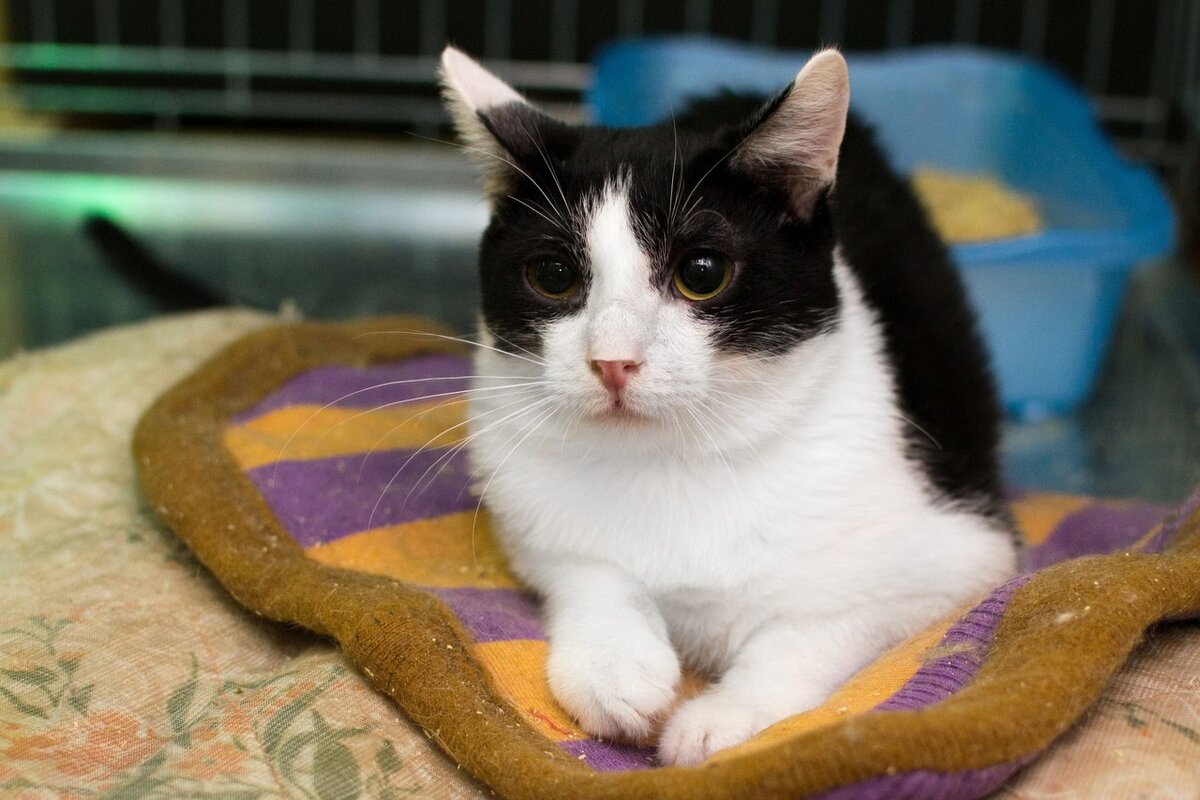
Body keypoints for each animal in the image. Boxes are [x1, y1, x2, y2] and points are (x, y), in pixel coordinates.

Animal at [439, 45, 1018, 766]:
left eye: (702, 273)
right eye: (553, 276)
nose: (613, 360)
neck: (674, 460)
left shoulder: (960, 556)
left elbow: (815, 627)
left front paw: (724, 718)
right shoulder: (523, 510)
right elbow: (581, 567)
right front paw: (612, 665)